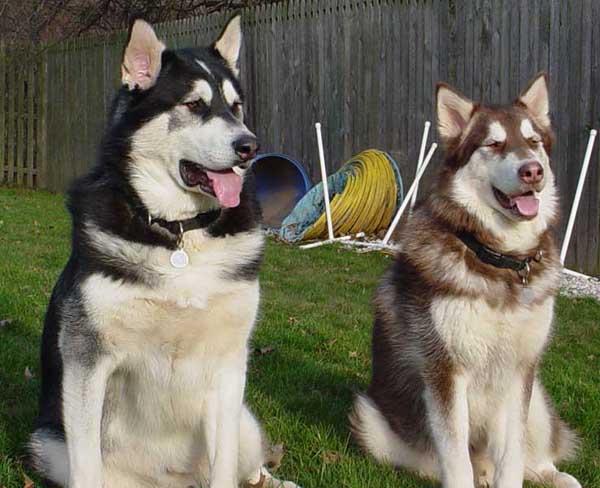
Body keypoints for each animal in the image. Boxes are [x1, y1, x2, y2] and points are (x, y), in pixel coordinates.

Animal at [29, 15, 298, 488]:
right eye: (193, 105)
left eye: (235, 107)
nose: (250, 146)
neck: (180, 236)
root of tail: (171, 480)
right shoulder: (86, 359)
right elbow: (86, 464)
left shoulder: (229, 363)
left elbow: (225, 467)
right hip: (46, 443)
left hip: (245, 422)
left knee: (250, 469)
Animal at [352, 73, 580, 488]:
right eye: (494, 143)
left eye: (533, 142)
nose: (532, 171)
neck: (499, 262)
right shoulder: (444, 370)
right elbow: (456, 457)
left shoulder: (520, 369)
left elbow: (513, 456)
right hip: (370, 418)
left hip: (538, 398)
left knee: (531, 459)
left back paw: (554, 476)